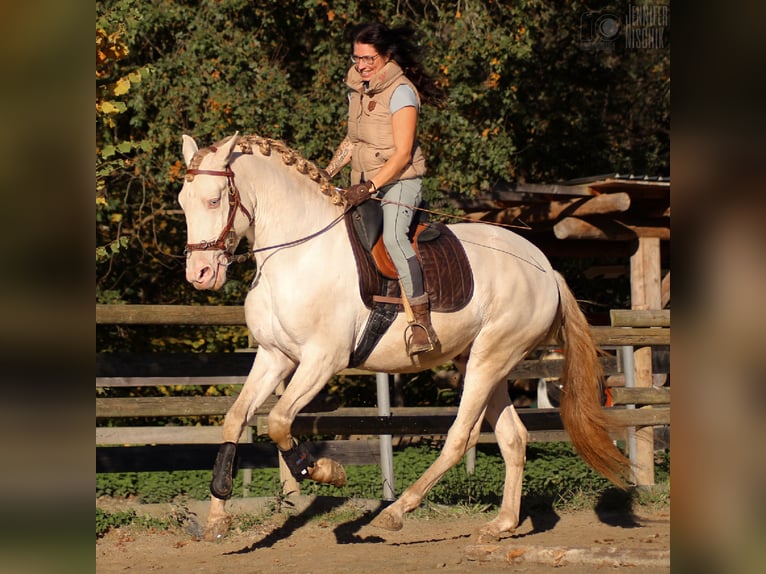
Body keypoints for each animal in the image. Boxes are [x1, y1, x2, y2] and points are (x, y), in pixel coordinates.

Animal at [178, 134, 632, 544]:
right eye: (183, 202)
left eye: (215, 200)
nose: (200, 274)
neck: (297, 251)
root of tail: (545, 267)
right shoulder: (275, 357)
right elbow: (236, 417)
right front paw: (218, 516)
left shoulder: (322, 359)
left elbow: (277, 421)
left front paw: (327, 472)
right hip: (485, 362)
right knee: (513, 438)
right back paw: (501, 524)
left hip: (489, 359)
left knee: (460, 438)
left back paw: (395, 513)